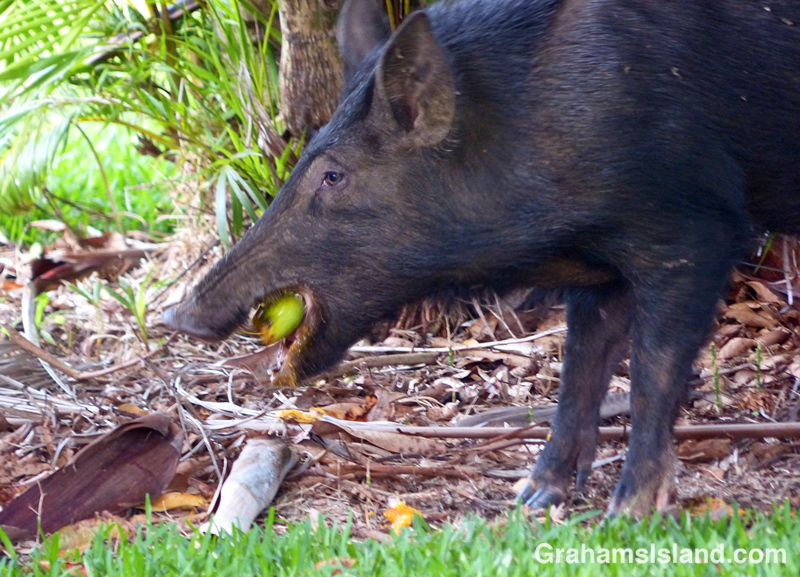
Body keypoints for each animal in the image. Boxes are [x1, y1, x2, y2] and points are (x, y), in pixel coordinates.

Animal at [164, 0, 800, 516]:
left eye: (333, 175)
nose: (175, 315)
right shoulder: (602, 268)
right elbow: (579, 366)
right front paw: (534, 497)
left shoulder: (694, 227)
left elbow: (653, 369)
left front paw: (628, 514)